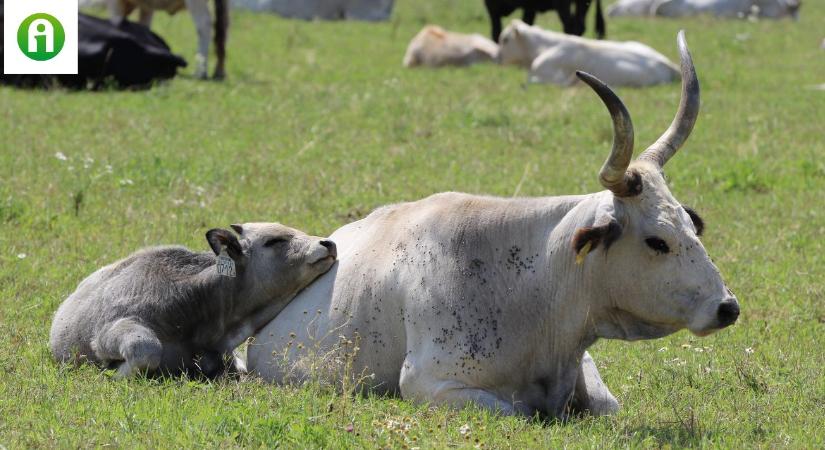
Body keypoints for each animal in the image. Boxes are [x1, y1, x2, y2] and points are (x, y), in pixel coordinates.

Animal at [246, 33, 740, 420]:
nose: (727, 307)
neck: (536, 287)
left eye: (691, 228)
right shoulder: (432, 384)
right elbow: (519, 411)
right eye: (657, 242)